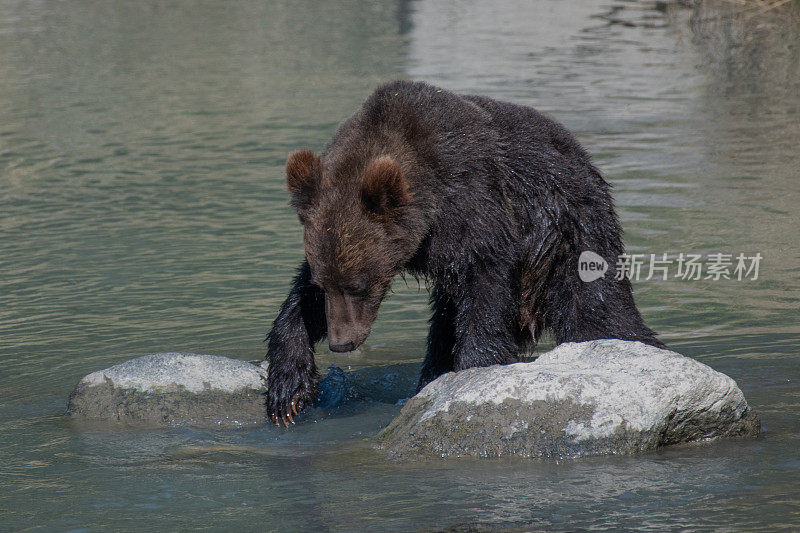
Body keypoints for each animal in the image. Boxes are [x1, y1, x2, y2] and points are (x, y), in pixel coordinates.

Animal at [266, 81, 660, 426]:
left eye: (359, 285)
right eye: (327, 285)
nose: (342, 342)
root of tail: (586, 160)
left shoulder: (475, 205)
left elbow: (486, 287)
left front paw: (473, 372)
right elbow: (299, 300)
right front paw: (287, 392)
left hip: (570, 233)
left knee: (597, 310)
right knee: (444, 321)